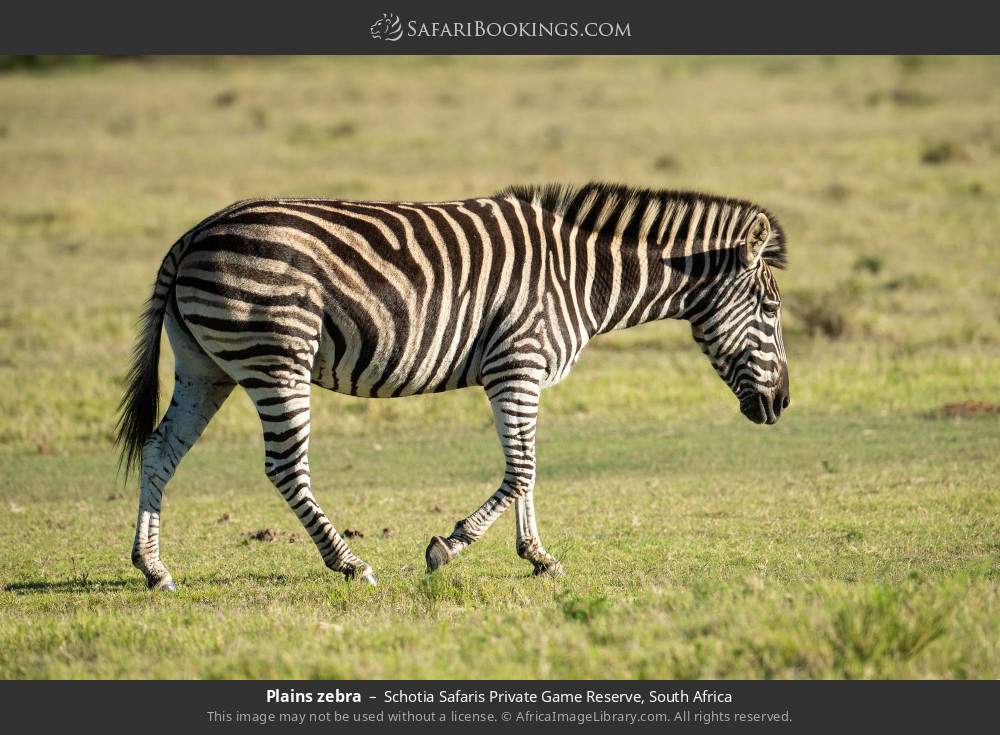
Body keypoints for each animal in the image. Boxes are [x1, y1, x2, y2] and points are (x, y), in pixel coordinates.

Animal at [117, 182, 789, 590]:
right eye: (772, 310)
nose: (781, 405)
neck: (580, 276)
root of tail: (195, 234)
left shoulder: (521, 374)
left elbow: (529, 468)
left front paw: (537, 557)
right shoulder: (516, 364)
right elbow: (521, 470)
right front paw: (448, 546)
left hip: (206, 367)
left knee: (160, 449)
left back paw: (153, 568)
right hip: (275, 354)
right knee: (285, 467)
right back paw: (350, 563)